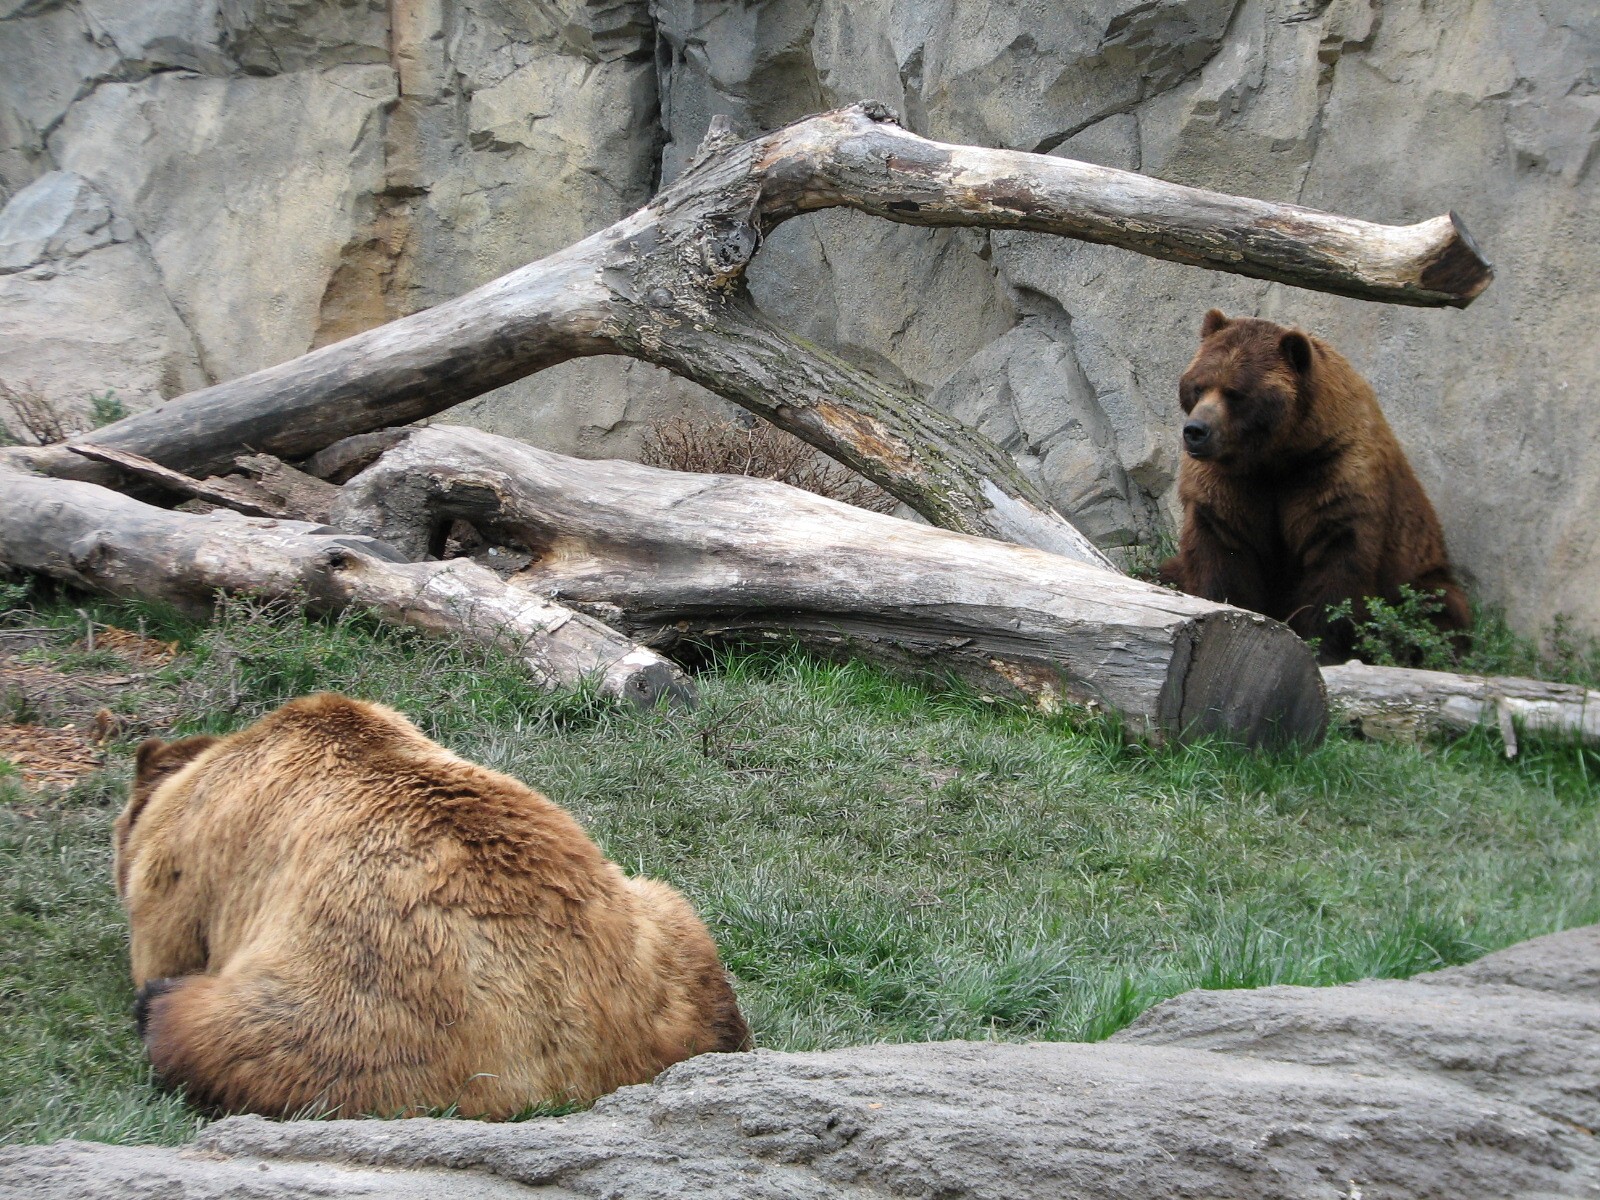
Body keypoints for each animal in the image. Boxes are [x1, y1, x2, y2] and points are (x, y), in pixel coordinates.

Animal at [113, 693, 749, 1119]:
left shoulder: (189, 866)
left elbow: (163, 942)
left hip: (362, 1012)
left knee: (215, 1031)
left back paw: (163, 1013)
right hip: (658, 938)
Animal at [1159, 309, 1468, 662]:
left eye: (1235, 393)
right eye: (1199, 386)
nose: (1196, 430)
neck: (1277, 456)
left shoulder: (1331, 469)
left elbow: (1336, 561)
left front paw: (1323, 646)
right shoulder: (1231, 482)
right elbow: (1222, 547)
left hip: (1419, 571)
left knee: (1438, 607)